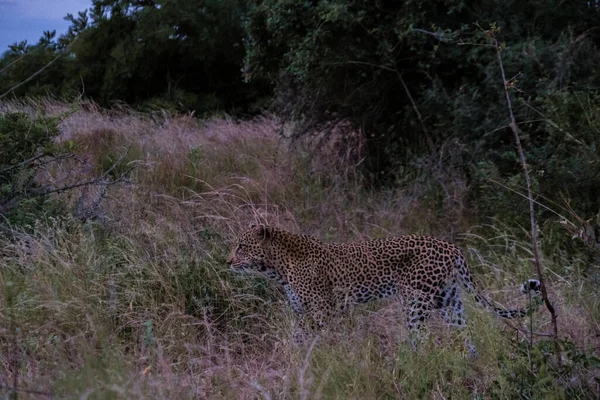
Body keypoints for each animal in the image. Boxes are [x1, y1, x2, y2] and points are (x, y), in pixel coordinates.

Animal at [226, 225, 544, 354]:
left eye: (241, 246)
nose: (227, 261)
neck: (277, 267)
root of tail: (451, 247)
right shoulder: (303, 311)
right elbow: (299, 337)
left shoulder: (323, 310)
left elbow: (309, 339)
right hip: (448, 300)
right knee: (464, 334)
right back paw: (469, 362)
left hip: (415, 301)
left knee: (423, 339)